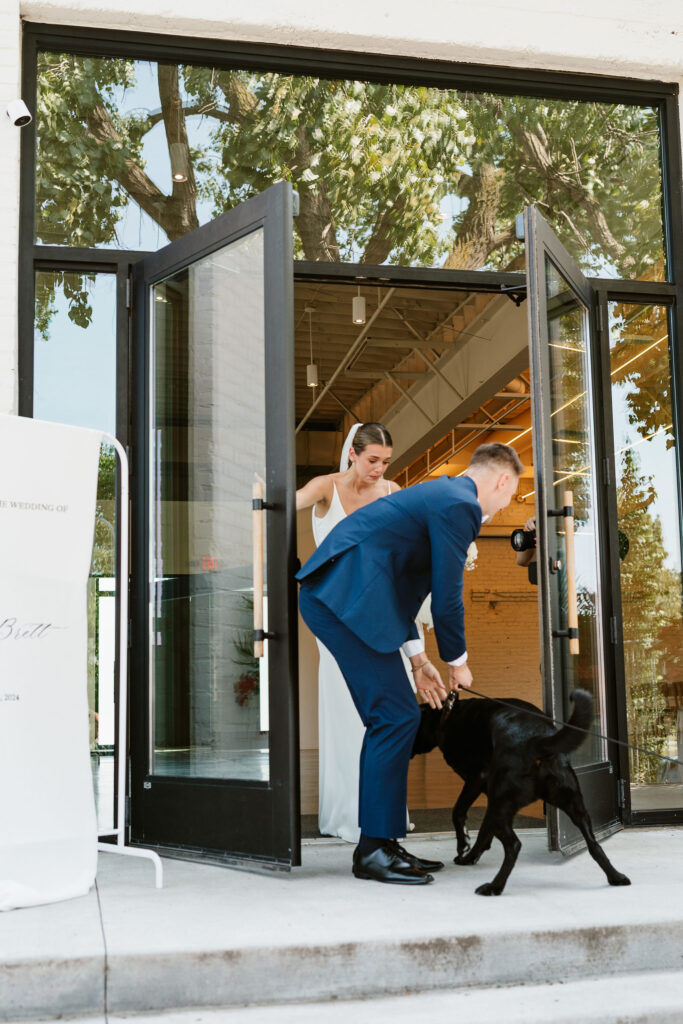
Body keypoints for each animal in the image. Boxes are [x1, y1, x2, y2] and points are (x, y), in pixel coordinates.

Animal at [411, 688, 630, 897]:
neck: (446, 715)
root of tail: (537, 741)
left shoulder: (476, 780)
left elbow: (458, 812)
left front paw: (463, 845)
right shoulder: (490, 796)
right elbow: (484, 831)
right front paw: (471, 856)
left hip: (501, 805)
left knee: (514, 845)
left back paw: (494, 887)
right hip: (574, 806)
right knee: (594, 845)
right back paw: (616, 877)